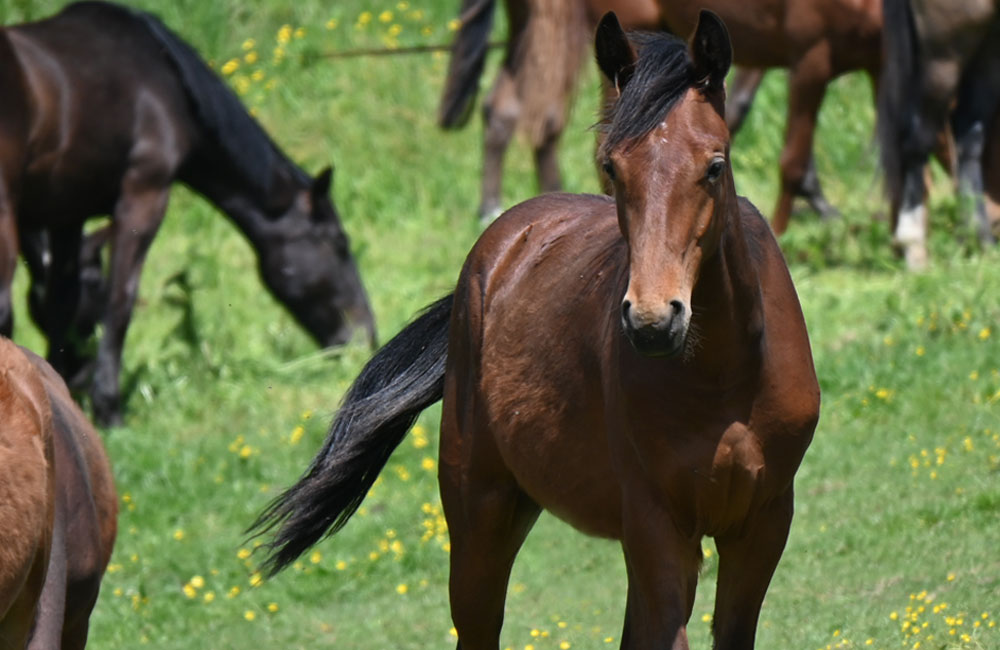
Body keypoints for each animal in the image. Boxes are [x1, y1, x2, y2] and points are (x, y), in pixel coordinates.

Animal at [0, 1, 377, 426]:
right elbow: (120, 301)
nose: (365, 334)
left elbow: (61, 302)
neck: (165, 75)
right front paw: (108, 409)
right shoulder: (143, 196)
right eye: (338, 244)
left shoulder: (67, 212)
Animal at [254, 12, 820, 649]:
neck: (725, 377)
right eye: (612, 167)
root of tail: (497, 248)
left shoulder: (762, 523)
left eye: (714, 166)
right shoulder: (660, 527)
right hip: (481, 516)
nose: (652, 322)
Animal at [877, 0, 1000, 270]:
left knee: (967, 137)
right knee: (918, 142)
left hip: (988, 42)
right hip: (946, 54)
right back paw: (914, 246)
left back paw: (980, 242)